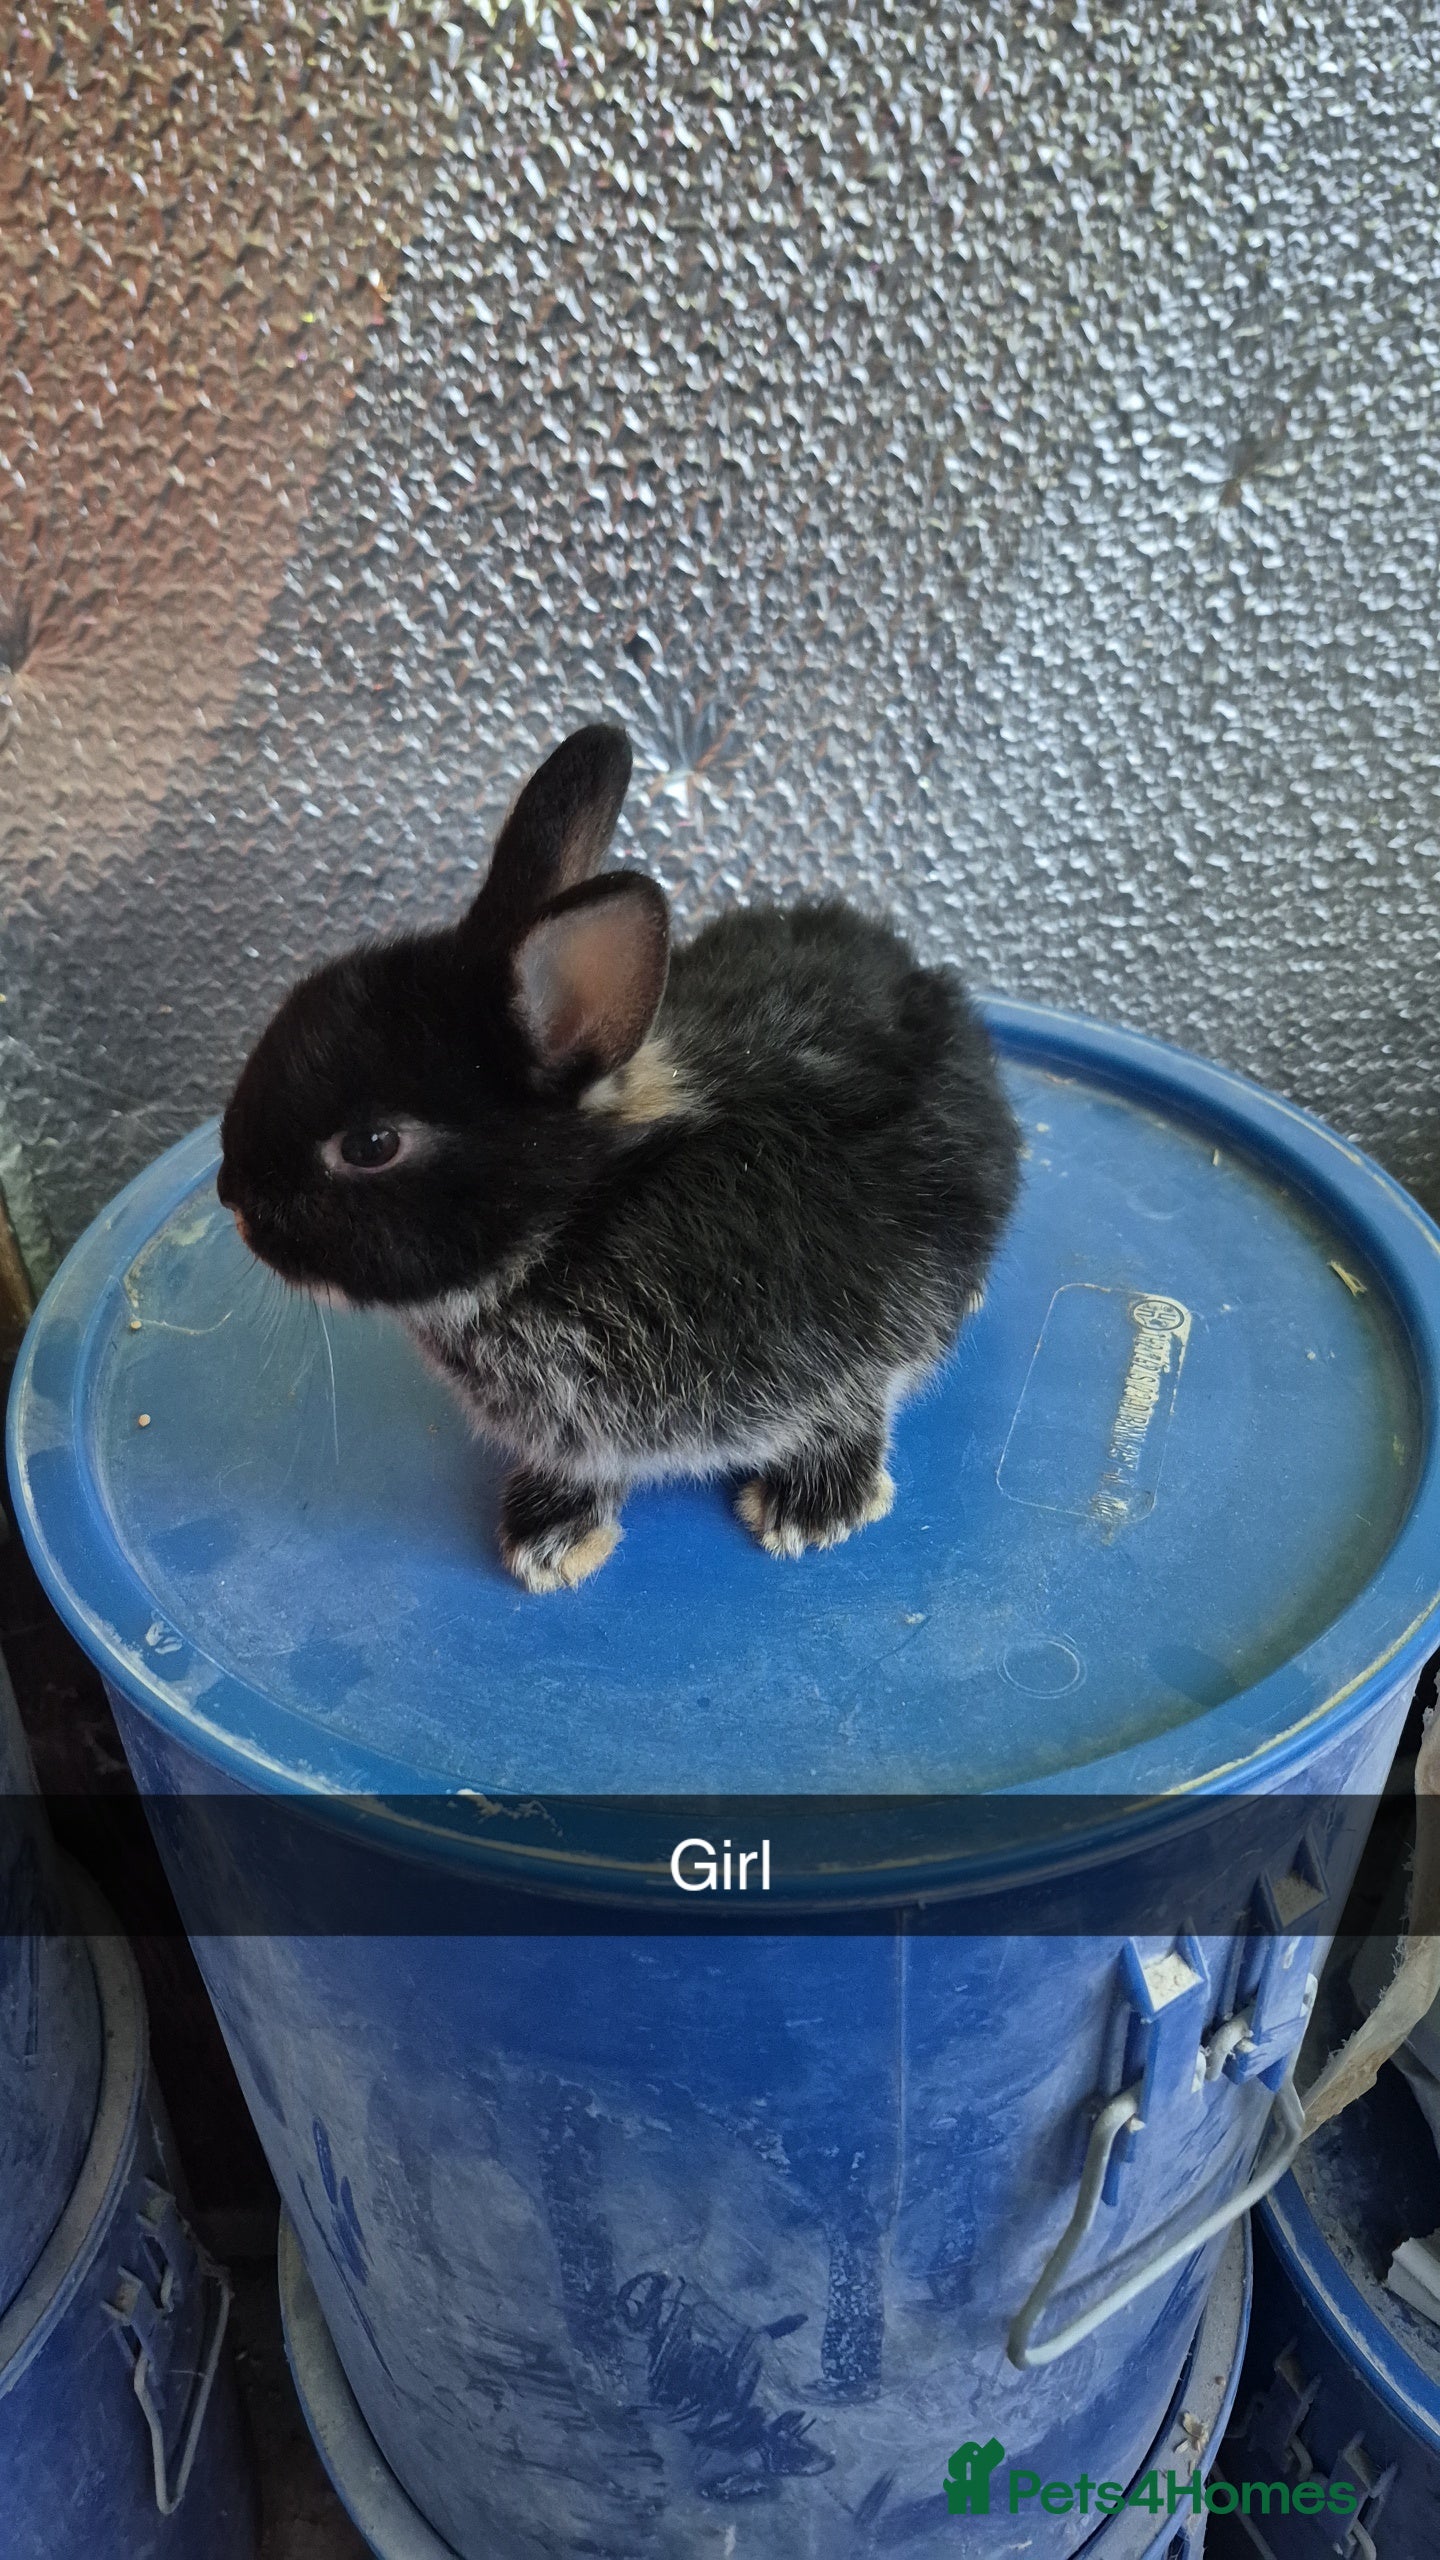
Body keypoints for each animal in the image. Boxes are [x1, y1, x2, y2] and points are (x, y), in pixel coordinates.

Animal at [218, 724, 1021, 1590]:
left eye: (371, 1146)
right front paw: (548, 1536)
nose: (232, 1199)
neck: (580, 1220)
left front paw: (814, 1510)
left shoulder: (865, 1329)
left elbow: (854, 1406)